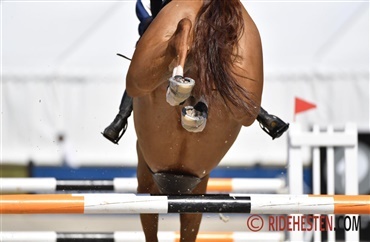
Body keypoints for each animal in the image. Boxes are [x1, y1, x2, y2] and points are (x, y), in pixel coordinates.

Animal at [126, 0, 264, 241]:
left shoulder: (146, 178)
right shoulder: (196, 194)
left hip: (137, 76)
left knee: (182, 30)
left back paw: (179, 86)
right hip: (248, 95)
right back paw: (194, 104)